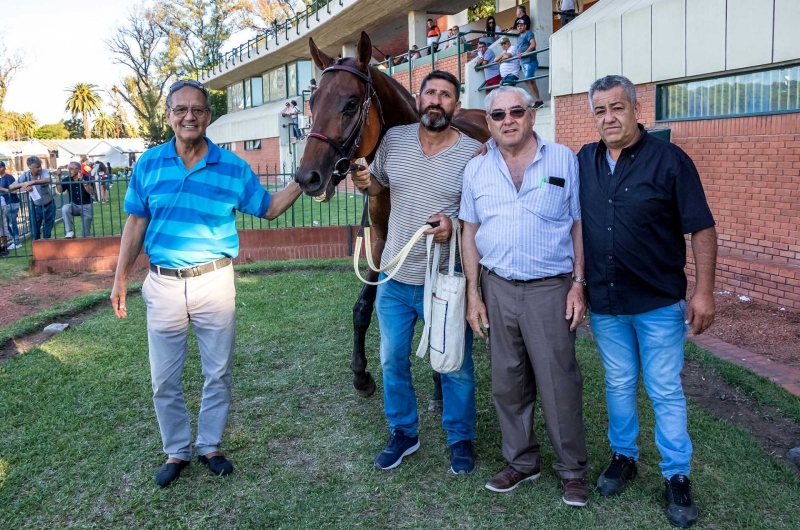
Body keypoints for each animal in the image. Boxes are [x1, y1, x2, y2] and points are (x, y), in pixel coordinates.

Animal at [296, 31, 490, 402]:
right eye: (312, 103)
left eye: (351, 103)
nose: (307, 177)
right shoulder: (382, 240)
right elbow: (362, 307)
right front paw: (361, 373)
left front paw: (440, 384)